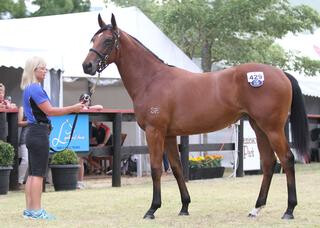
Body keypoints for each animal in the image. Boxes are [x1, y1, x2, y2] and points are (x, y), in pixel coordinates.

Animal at [81, 13, 308, 219]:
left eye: (107, 40)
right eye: (93, 40)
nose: (87, 66)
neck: (152, 80)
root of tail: (280, 73)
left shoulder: (155, 132)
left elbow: (156, 168)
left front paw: (152, 209)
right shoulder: (169, 135)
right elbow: (177, 168)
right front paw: (184, 206)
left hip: (272, 128)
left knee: (287, 159)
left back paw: (289, 210)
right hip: (259, 127)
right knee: (269, 163)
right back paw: (256, 208)